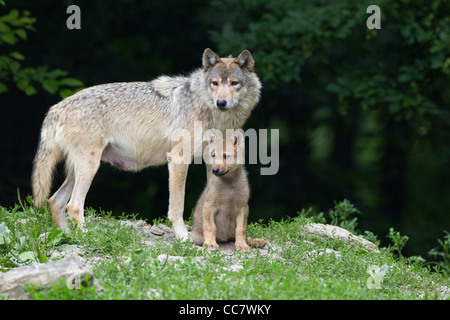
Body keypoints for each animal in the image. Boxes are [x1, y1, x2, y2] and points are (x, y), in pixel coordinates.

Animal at [31, 48, 262, 240]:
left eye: (234, 83)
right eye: (215, 83)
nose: (221, 103)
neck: (204, 106)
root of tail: (58, 107)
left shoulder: (212, 164)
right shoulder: (178, 159)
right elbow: (177, 206)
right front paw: (183, 236)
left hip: (80, 169)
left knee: (55, 201)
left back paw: (67, 236)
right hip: (89, 167)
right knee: (73, 205)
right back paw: (86, 237)